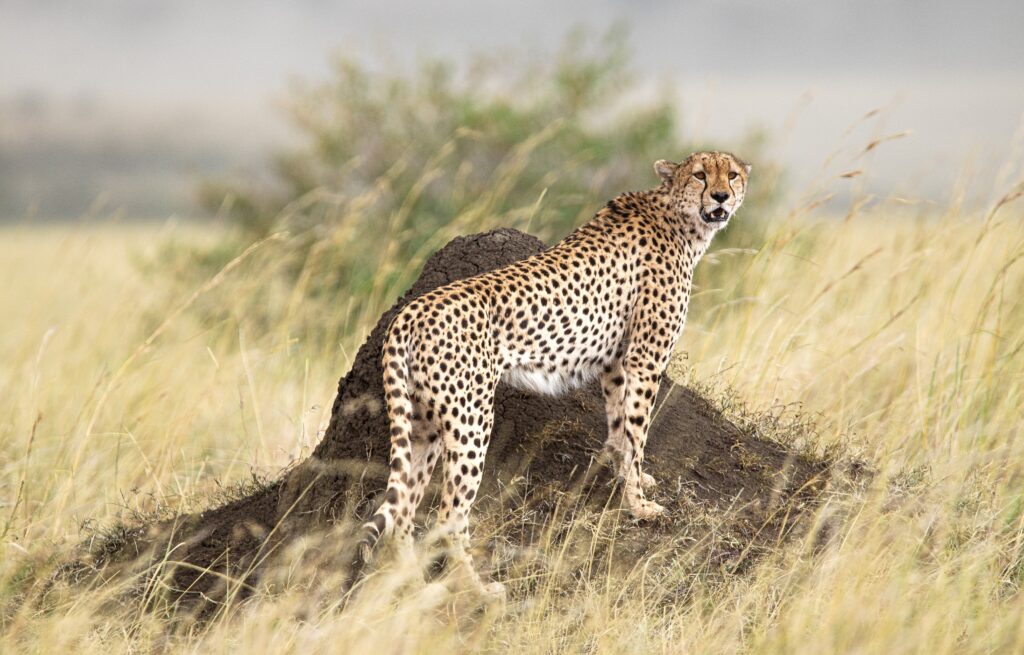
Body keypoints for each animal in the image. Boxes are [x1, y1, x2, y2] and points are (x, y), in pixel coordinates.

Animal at [358, 151, 751, 599]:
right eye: (701, 175)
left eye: (731, 175)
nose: (720, 196)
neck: (678, 217)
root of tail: (410, 311)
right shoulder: (644, 358)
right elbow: (637, 431)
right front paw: (641, 506)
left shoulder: (615, 362)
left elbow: (620, 428)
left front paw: (629, 478)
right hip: (470, 419)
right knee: (448, 517)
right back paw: (477, 589)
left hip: (422, 423)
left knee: (404, 511)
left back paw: (412, 585)